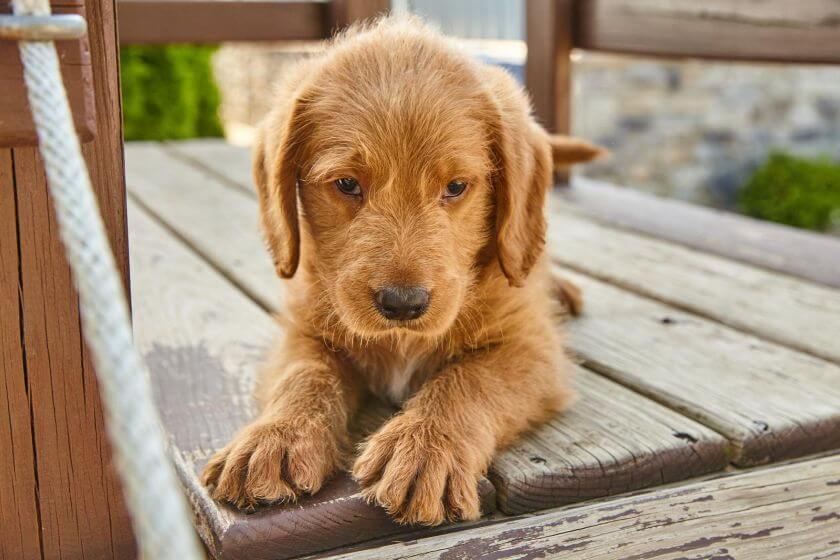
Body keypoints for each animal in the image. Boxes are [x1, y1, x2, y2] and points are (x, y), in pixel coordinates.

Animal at [203, 15, 604, 528]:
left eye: (456, 187)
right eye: (346, 184)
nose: (402, 305)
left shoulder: (531, 347)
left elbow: (469, 380)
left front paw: (424, 447)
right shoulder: (304, 329)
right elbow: (305, 374)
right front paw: (276, 436)